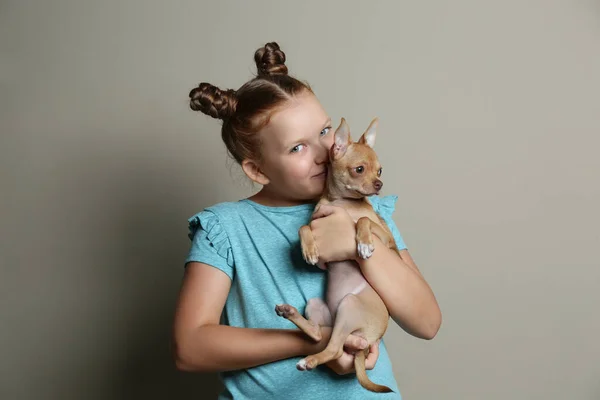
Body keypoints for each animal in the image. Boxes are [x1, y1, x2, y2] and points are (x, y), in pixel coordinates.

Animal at [276, 117, 398, 392]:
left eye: (380, 171)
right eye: (359, 169)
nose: (379, 185)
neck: (342, 202)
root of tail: (371, 339)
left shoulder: (388, 241)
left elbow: (363, 219)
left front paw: (363, 244)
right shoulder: (317, 226)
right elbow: (303, 227)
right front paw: (309, 249)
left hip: (349, 306)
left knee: (333, 349)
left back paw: (310, 361)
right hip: (317, 306)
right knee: (318, 334)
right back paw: (290, 314)